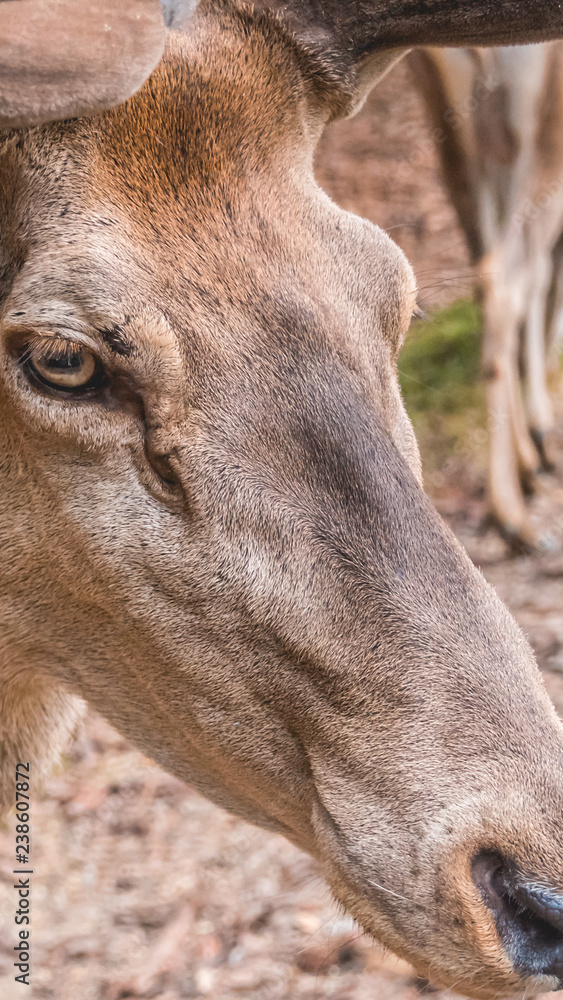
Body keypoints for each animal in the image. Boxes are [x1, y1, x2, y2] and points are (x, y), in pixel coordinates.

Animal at [410, 43, 563, 553]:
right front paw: (542, 436)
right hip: (536, 128)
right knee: (505, 280)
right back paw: (512, 515)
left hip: (453, 129)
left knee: (486, 272)